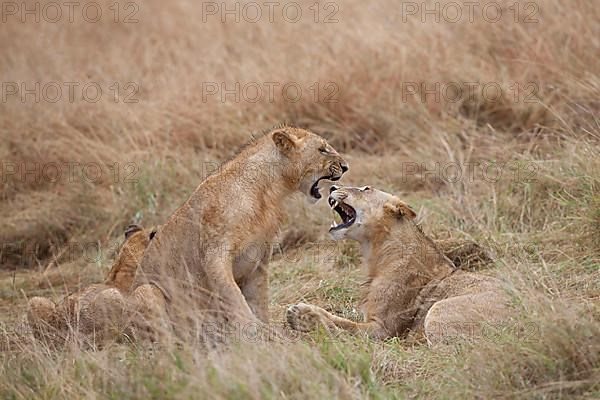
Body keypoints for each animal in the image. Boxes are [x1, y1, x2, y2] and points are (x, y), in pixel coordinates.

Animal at [130, 124, 346, 338]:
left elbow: (258, 300)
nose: (345, 167)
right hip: (145, 291)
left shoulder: (259, 259)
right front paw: (253, 331)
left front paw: (267, 331)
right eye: (322, 149)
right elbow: (234, 296)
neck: (267, 191)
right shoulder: (215, 254)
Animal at [286, 184, 510, 344]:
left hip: (437, 311)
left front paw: (303, 315)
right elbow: (340, 318)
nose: (332, 187)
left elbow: (348, 328)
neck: (375, 252)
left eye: (365, 189)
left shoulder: (382, 329)